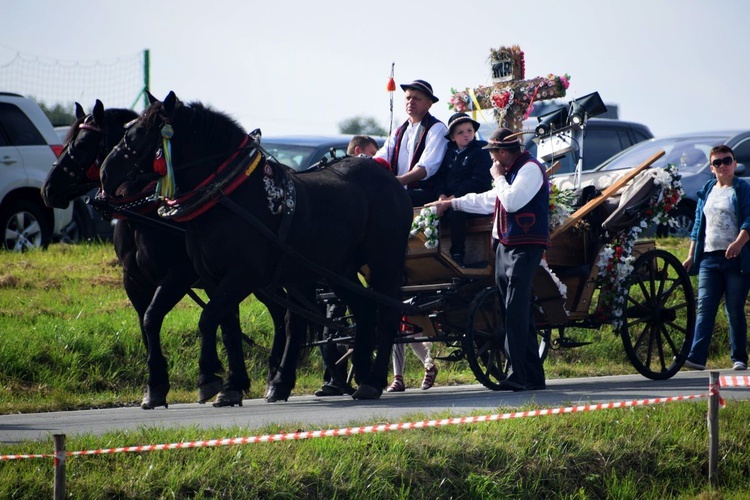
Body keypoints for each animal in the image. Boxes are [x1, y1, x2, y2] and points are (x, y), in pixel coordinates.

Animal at [41, 99, 290, 408]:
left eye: (84, 142)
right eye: (68, 141)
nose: (49, 189)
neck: (142, 217)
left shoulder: (178, 276)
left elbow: (154, 317)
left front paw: (202, 379)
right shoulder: (135, 281)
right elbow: (147, 325)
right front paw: (156, 385)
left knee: (284, 314)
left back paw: (280, 379)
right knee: (280, 312)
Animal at [99, 92, 412, 400]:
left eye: (142, 131)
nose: (105, 173)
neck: (228, 195)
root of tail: (388, 177)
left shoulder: (236, 276)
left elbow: (207, 318)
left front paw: (208, 378)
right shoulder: (211, 279)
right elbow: (223, 326)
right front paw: (230, 385)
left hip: (384, 261)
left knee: (387, 314)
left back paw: (371, 380)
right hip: (338, 270)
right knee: (362, 311)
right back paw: (341, 376)